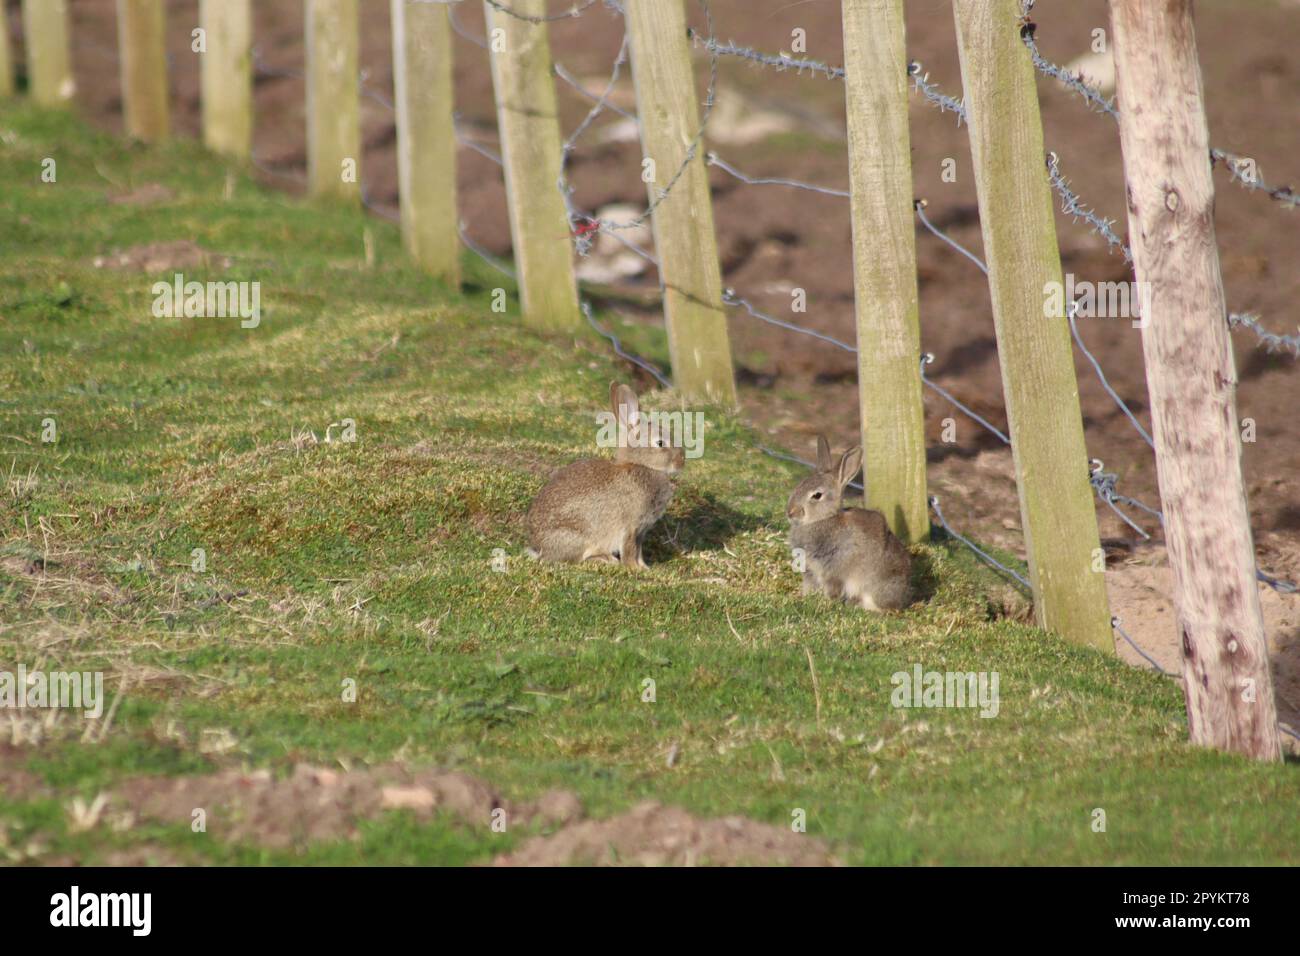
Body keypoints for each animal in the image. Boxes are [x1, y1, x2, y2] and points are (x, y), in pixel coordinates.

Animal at [526, 382, 684, 569]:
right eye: (660, 443)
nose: (682, 461)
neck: (642, 465)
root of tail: (538, 547)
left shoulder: (641, 531)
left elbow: (638, 551)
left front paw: (645, 567)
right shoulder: (630, 527)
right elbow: (630, 550)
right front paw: (635, 569)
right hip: (580, 536)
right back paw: (606, 559)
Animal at [786, 435, 912, 611]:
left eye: (817, 495)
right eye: (800, 485)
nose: (790, 512)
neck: (823, 519)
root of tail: (902, 599)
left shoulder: (833, 570)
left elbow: (833, 588)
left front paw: (827, 602)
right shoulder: (810, 570)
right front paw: (805, 598)